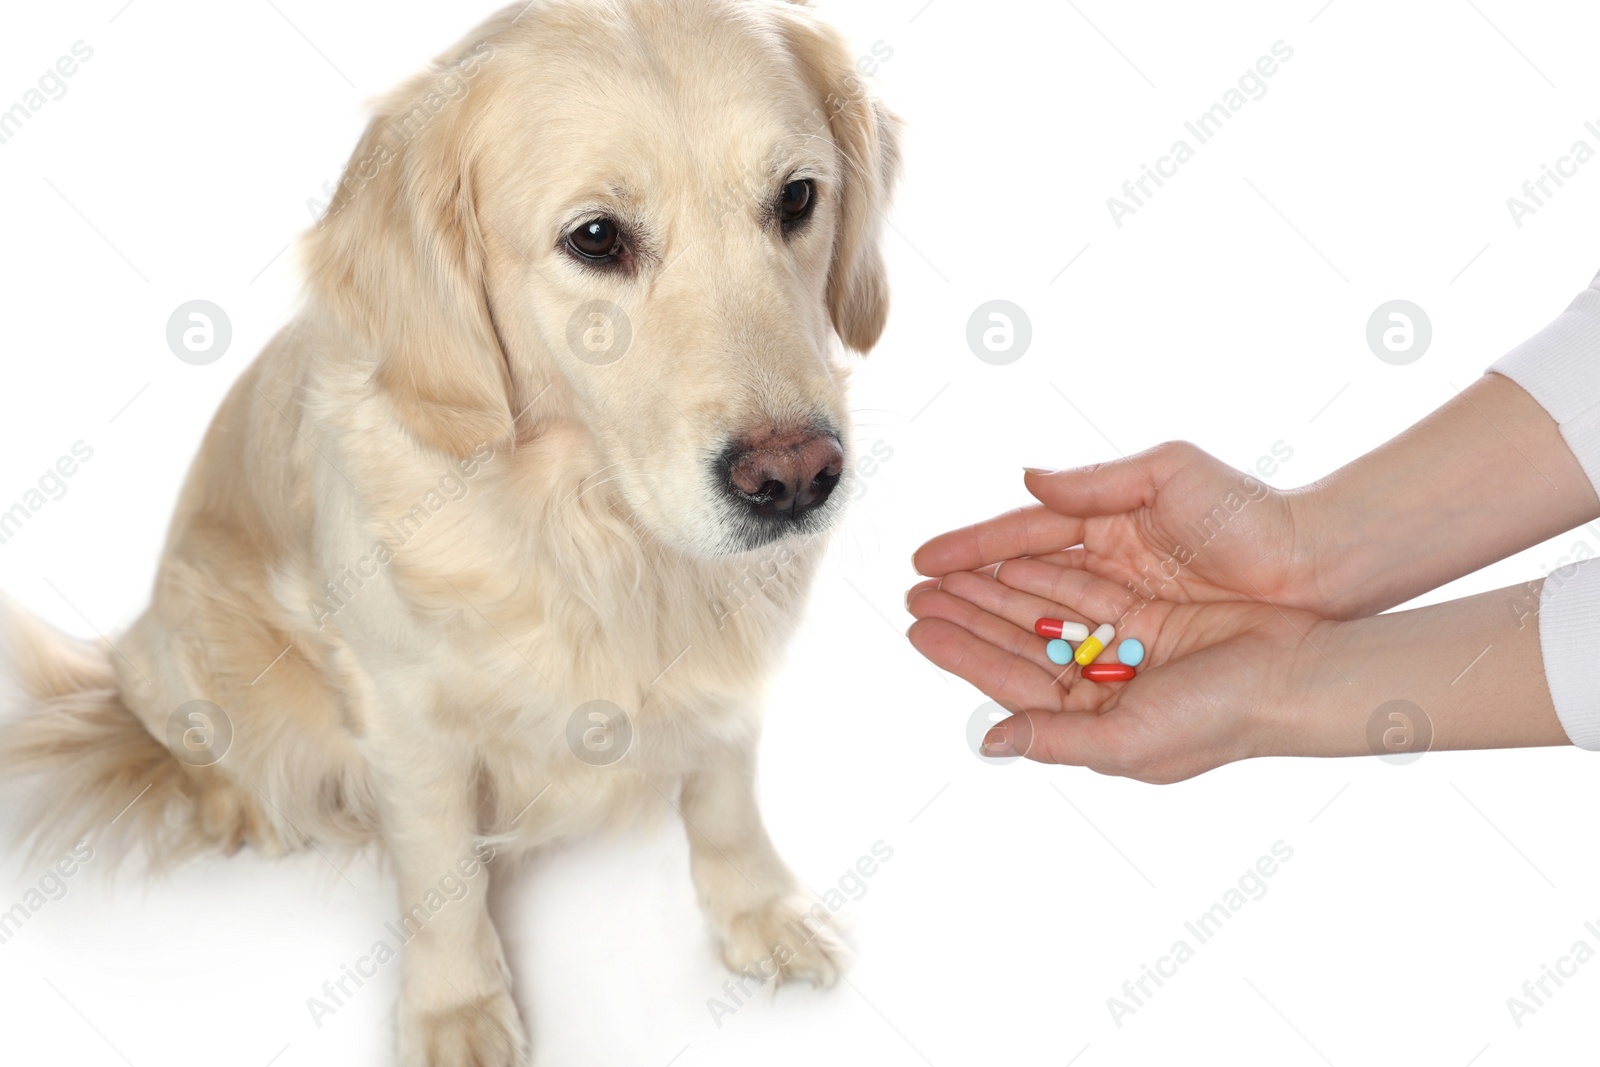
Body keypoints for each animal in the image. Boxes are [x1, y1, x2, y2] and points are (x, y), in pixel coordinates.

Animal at [0, 4, 902, 1062]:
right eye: (597, 237)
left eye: (796, 197)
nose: (795, 477)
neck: (590, 524)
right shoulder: (403, 711)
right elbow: (442, 875)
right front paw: (456, 1008)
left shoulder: (732, 664)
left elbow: (724, 797)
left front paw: (760, 911)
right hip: (195, 640)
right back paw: (238, 807)